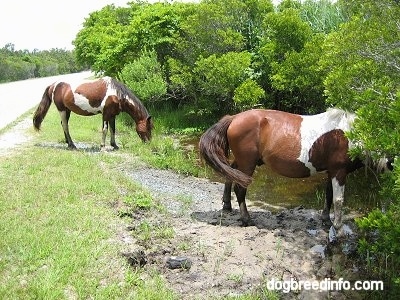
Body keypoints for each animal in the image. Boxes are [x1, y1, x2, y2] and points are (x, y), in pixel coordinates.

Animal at [200, 109, 390, 238]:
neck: (349, 135)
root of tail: (234, 118)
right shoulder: (339, 171)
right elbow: (338, 200)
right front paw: (339, 228)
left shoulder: (331, 172)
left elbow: (328, 195)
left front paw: (326, 220)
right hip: (248, 164)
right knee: (240, 189)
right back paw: (246, 219)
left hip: (242, 163)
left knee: (230, 173)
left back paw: (227, 205)